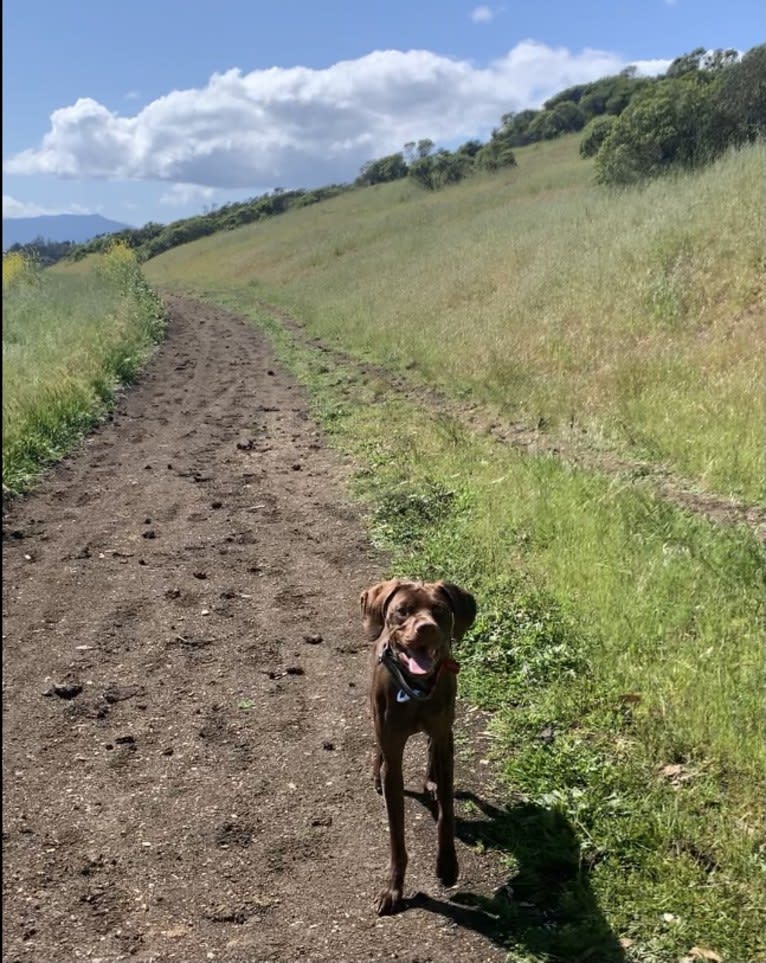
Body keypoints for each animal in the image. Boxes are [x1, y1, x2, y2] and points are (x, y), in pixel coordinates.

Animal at [362, 576, 480, 916]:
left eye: (439, 610)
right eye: (403, 610)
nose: (426, 628)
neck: (415, 689)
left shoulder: (443, 737)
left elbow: (446, 814)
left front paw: (448, 866)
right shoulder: (393, 755)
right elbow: (396, 837)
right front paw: (393, 890)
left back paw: (430, 781)